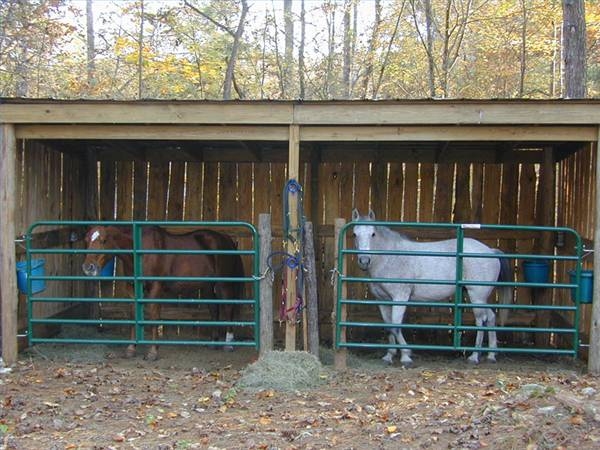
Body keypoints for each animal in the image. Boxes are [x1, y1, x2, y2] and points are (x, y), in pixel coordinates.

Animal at [81, 227, 245, 360]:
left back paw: (228, 344)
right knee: (214, 309)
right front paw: (131, 349)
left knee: (228, 308)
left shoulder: (155, 288)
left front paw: (153, 352)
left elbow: (154, 316)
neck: (139, 251)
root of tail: (227, 239)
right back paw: (213, 342)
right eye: (86, 240)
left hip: (223, 285)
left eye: (103, 240)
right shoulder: (132, 289)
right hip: (207, 286)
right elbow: (133, 315)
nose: (88, 267)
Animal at [352, 209, 510, 368]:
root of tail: (490, 251)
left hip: (476, 296)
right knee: (491, 317)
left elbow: (396, 325)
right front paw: (389, 355)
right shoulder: (383, 300)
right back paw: (491, 355)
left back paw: (474, 356)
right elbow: (389, 326)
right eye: (354, 234)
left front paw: (406, 356)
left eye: (373, 234)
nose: (364, 261)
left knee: (481, 320)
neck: (391, 258)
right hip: (479, 298)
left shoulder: (400, 297)